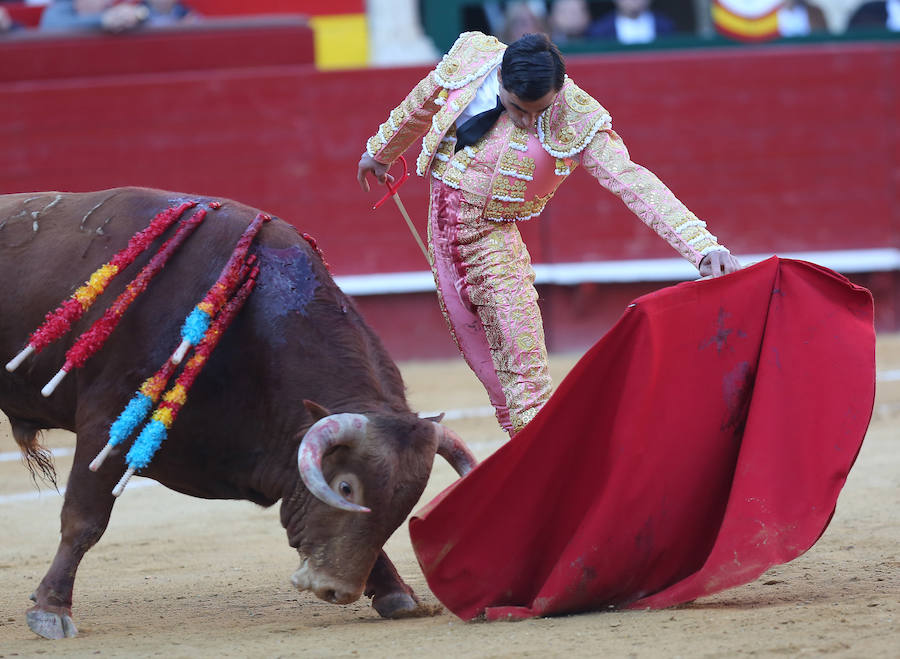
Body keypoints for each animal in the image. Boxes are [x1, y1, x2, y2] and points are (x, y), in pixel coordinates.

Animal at [0, 188, 478, 640]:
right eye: (345, 487)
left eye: (405, 502)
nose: (336, 590)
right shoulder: (108, 423)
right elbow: (84, 520)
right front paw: (51, 610)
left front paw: (397, 595)